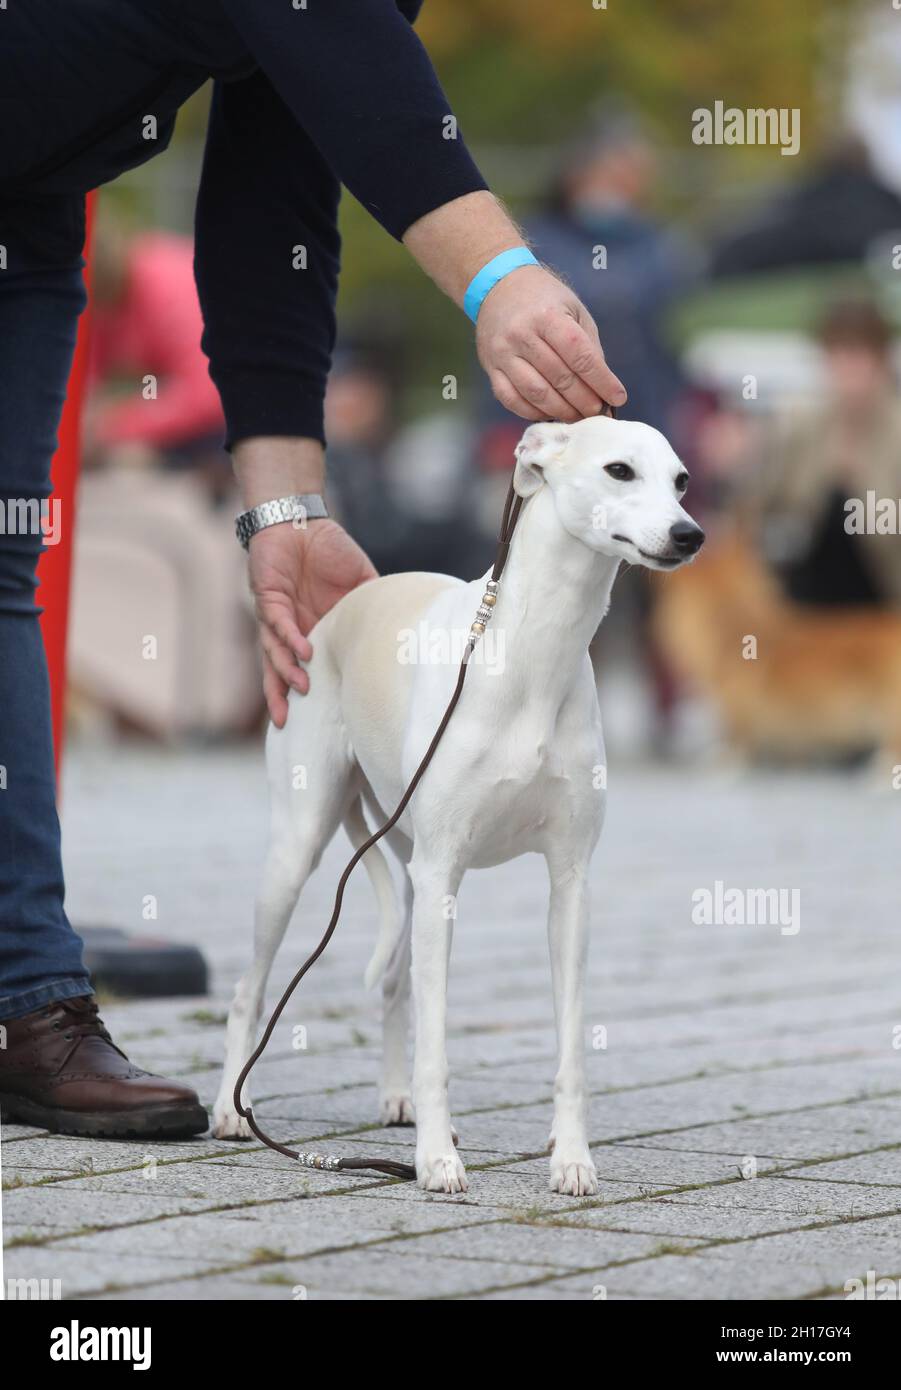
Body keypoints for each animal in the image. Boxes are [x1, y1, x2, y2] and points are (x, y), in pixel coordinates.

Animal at [216, 411, 703, 1195]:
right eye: (619, 470)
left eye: (681, 480)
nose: (689, 534)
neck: (533, 654)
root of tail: (337, 612)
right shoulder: (445, 871)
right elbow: (437, 1042)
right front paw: (438, 1161)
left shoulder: (568, 883)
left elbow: (570, 1046)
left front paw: (570, 1158)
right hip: (301, 850)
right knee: (249, 990)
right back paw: (233, 1110)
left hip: (409, 867)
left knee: (392, 985)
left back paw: (396, 1101)